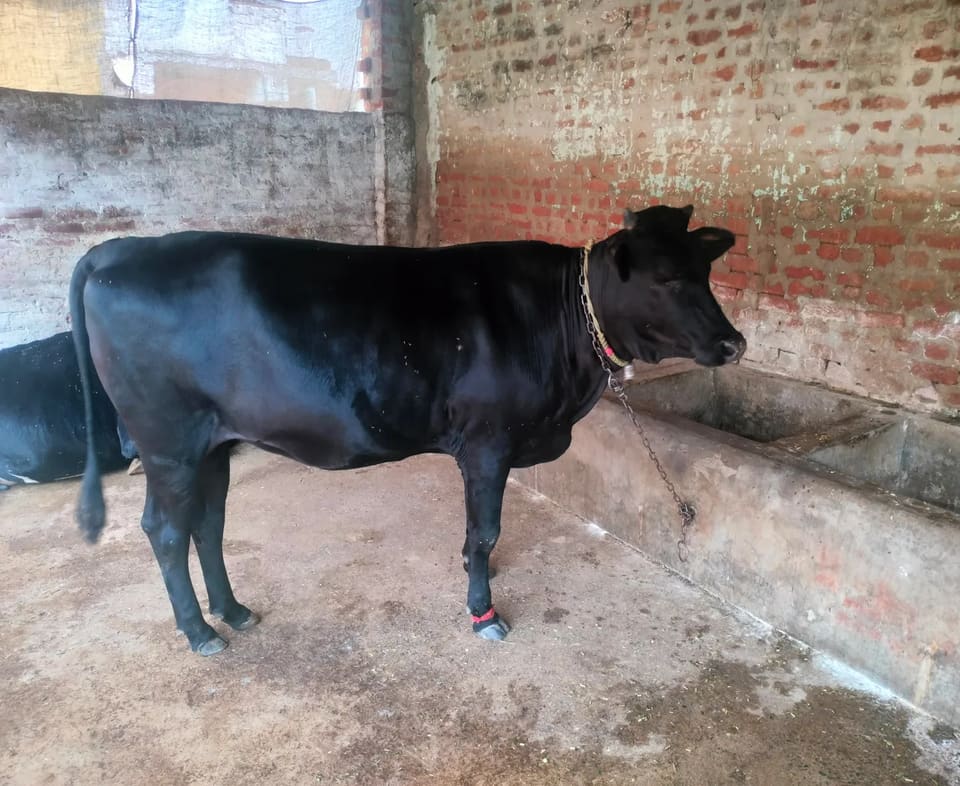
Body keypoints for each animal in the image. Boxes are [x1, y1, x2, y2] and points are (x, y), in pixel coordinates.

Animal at [69, 204, 746, 655]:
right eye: (666, 278)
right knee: (164, 531)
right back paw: (198, 631)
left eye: (704, 271)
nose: (733, 343)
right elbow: (485, 532)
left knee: (207, 526)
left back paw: (233, 612)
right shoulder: (488, 441)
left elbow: (476, 534)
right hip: (168, 442)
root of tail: (119, 249)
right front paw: (483, 613)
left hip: (213, 443)